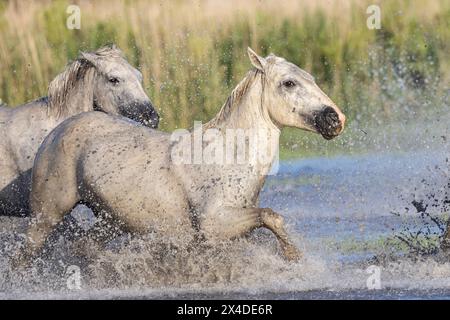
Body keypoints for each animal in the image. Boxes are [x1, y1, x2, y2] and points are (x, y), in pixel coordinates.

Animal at [16, 49, 344, 264]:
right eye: (289, 83)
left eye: (311, 78)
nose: (335, 119)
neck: (229, 154)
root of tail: (59, 128)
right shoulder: (215, 224)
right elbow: (272, 216)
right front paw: (293, 256)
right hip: (46, 215)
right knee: (24, 254)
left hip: (110, 220)